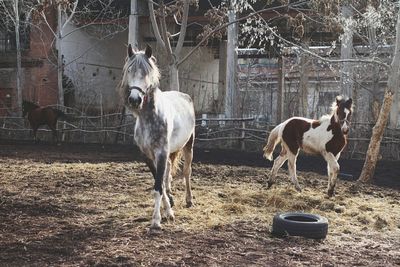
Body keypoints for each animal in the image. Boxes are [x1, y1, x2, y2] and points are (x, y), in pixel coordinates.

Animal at [119, 44, 195, 230]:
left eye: (147, 72)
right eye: (129, 70)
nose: (134, 100)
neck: (149, 118)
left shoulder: (161, 152)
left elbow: (158, 186)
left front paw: (156, 221)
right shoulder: (147, 156)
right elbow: (158, 183)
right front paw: (168, 211)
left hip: (188, 145)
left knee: (186, 171)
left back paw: (189, 200)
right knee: (168, 171)